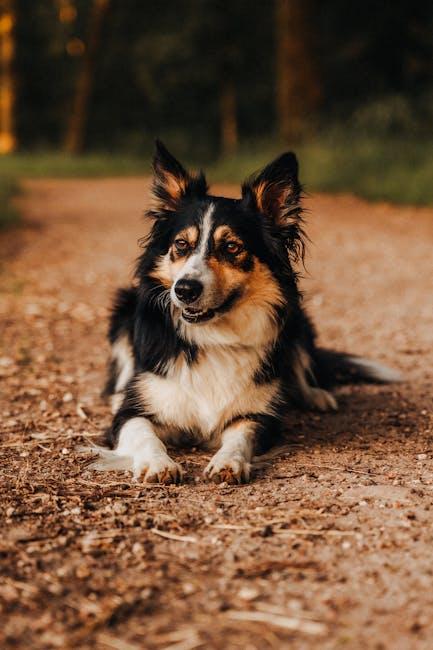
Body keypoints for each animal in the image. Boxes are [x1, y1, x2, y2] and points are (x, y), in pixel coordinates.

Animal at [90, 142, 398, 484]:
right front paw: (158, 464)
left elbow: (241, 436)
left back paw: (316, 395)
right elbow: (144, 433)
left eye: (232, 247)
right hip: (123, 307)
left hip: (298, 322)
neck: (215, 338)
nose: (184, 290)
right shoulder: (134, 412)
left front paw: (228, 462)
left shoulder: (256, 415)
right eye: (181, 244)